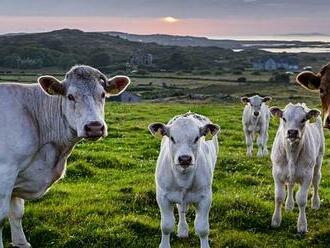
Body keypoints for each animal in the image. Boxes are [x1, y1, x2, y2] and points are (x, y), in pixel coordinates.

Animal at [0, 65, 130, 247]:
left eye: (103, 95)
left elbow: (17, 212)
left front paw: (21, 243)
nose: (95, 127)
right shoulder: (6, 171)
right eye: (70, 96)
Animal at [149, 112, 220, 248]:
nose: (185, 159)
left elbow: (203, 228)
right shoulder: (162, 197)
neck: (183, 178)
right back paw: (182, 230)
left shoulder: (206, 197)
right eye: (172, 138)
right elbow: (166, 226)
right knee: (181, 210)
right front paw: (164, 244)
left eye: (197, 138)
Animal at [270, 103, 324, 234]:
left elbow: (301, 200)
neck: (292, 154)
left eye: (303, 119)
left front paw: (302, 225)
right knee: (290, 185)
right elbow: (279, 197)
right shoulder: (277, 174)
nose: (292, 132)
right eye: (284, 118)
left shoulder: (307, 176)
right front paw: (276, 221)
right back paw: (289, 205)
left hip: (318, 161)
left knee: (316, 182)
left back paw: (315, 203)